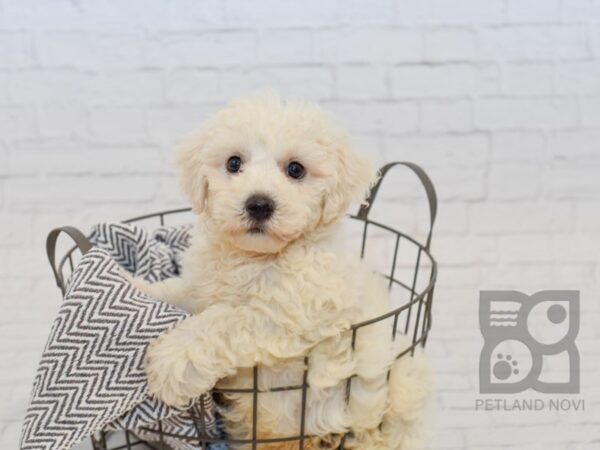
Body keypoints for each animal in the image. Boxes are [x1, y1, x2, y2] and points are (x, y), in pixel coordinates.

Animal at [138, 93, 428, 448]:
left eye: (296, 169)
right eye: (233, 163)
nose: (259, 205)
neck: (257, 258)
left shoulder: (287, 314)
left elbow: (221, 321)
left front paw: (170, 360)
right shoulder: (202, 287)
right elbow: (175, 290)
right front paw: (130, 283)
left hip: (395, 387)